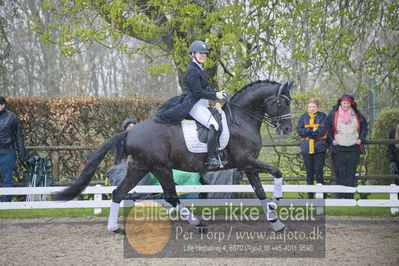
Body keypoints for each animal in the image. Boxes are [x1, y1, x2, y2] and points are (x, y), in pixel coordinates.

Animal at [54, 79, 294, 233]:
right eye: (283, 102)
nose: (287, 129)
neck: (241, 120)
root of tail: (131, 131)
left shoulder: (248, 165)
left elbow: (261, 191)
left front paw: (275, 220)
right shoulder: (246, 161)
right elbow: (276, 172)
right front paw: (276, 202)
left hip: (140, 167)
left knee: (118, 192)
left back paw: (114, 228)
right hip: (160, 168)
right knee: (170, 196)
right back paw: (197, 224)